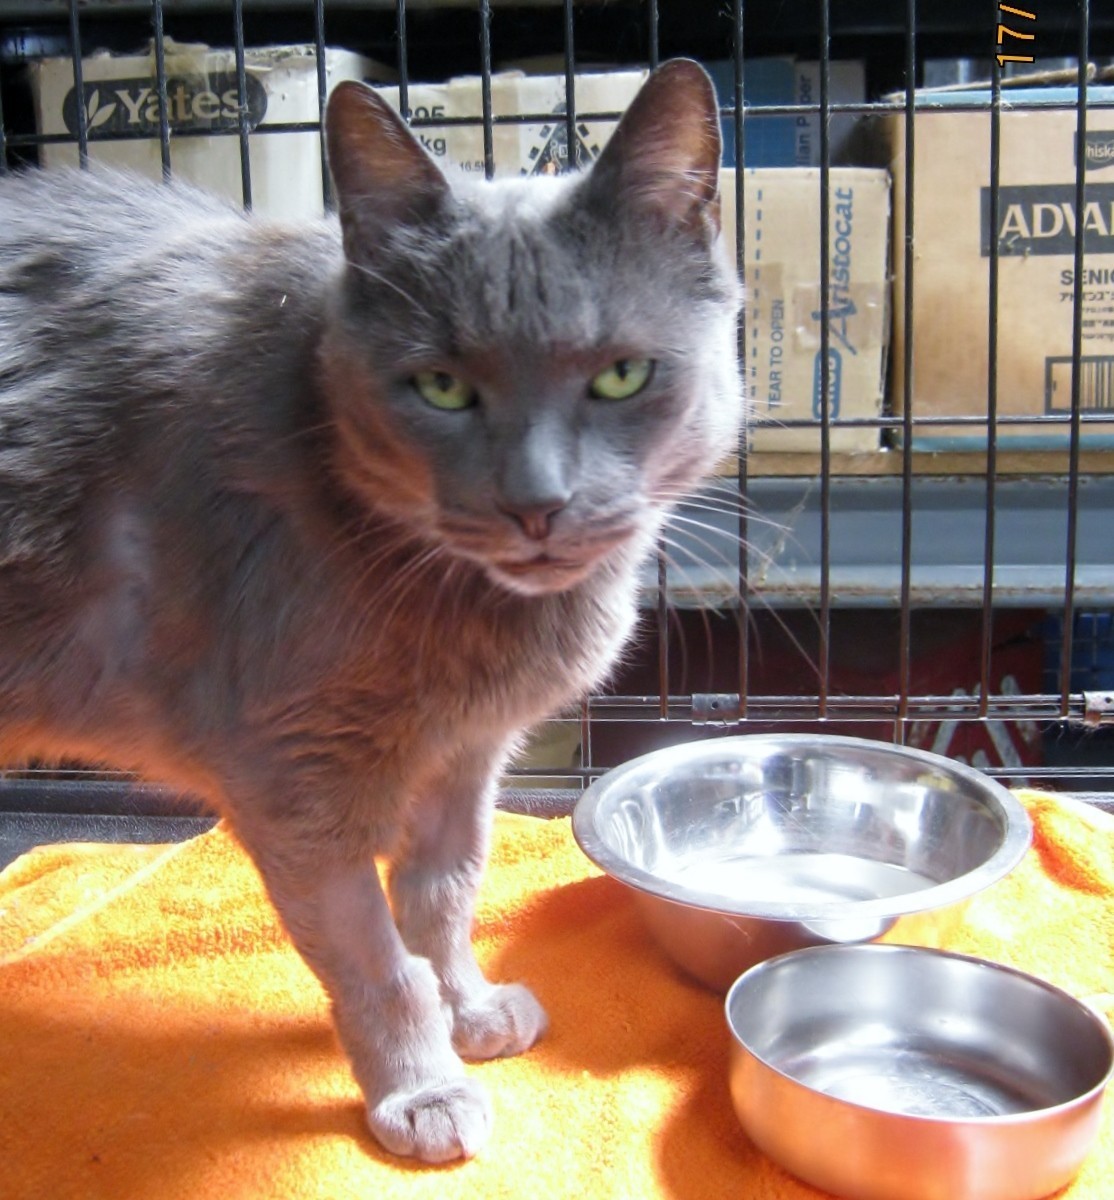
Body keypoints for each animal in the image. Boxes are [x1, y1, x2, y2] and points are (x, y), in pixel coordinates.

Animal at [0, 58, 742, 1162]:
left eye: (621, 374)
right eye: (440, 387)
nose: (536, 502)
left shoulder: (469, 754)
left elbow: (442, 896)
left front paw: (471, 1011)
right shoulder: (293, 776)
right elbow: (374, 958)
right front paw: (422, 1089)